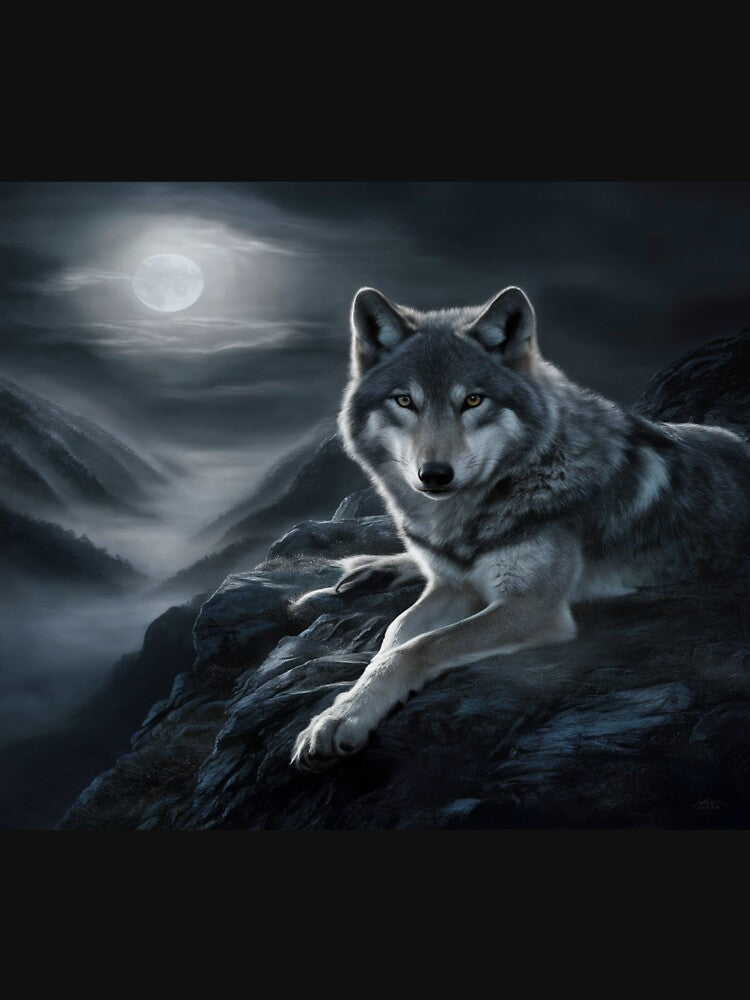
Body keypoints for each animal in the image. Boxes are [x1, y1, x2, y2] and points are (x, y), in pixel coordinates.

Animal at [291, 286, 750, 772]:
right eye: (405, 401)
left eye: (473, 401)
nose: (434, 475)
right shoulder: (451, 587)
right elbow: (394, 635)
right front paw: (344, 708)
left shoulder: (531, 606)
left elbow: (418, 647)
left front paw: (349, 714)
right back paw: (373, 568)